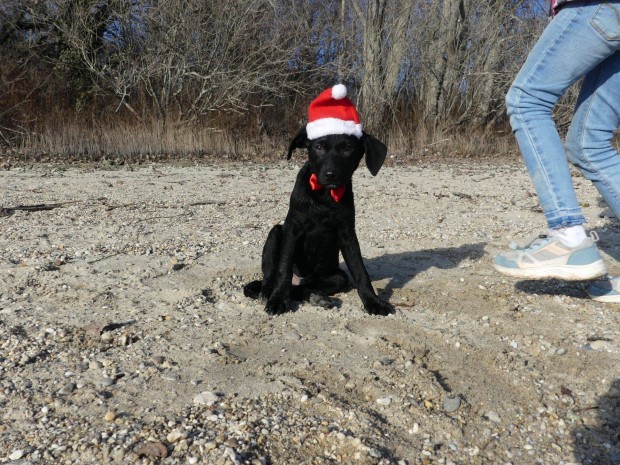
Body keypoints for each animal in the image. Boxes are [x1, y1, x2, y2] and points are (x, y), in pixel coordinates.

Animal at [242, 122, 392, 316]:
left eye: (348, 148)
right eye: (318, 147)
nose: (331, 174)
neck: (325, 196)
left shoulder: (347, 234)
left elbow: (360, 271)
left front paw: (373, 301)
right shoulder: (292, 229)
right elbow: (284, 268)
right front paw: (278, 299)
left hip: (338, 277)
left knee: (303, 288)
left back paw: (317, 296)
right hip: (276, 233)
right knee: (271, 277)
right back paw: (268, 292)